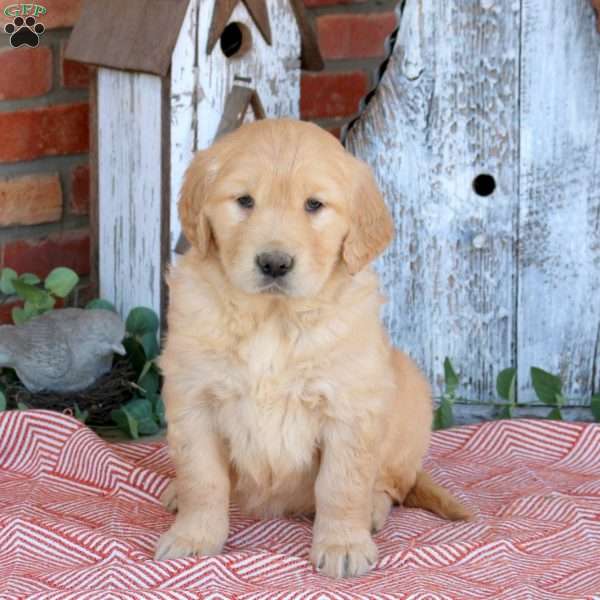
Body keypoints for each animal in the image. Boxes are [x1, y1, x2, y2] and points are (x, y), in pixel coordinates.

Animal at [154, 118, 468, 576]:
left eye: (314, 205)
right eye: (244, 200)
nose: (274, 263)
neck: (273, 319)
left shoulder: (349, 406)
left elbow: (342, 484)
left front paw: (343, 545)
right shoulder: (194, 399)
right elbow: (203, 478)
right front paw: (193, 536)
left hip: (409, 398)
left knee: (391, 485)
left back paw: (372, 513)